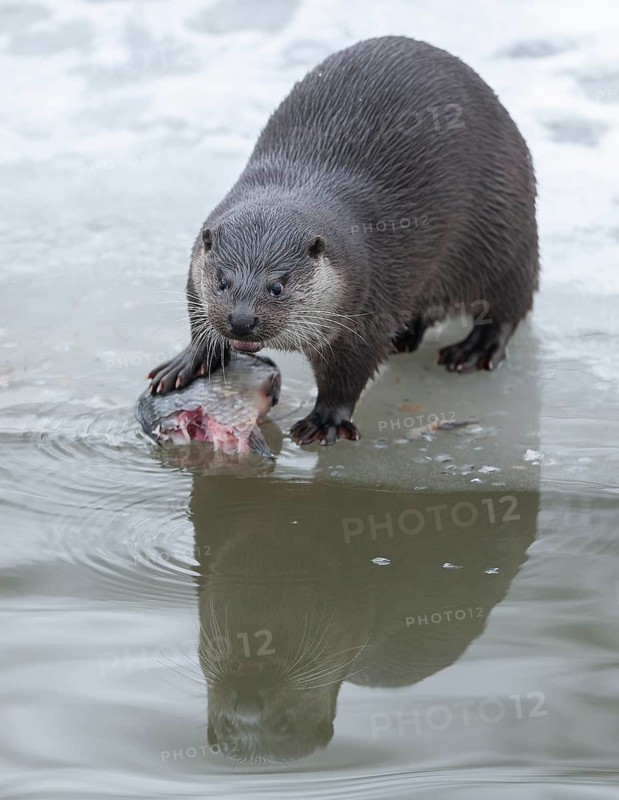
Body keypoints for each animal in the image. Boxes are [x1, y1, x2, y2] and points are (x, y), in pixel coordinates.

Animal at [149, 36, 539, 445]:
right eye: (222, 281)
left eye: (277, 286)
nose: (241, 320)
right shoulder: (196, 270)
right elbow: (198, 318)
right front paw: (188, 361)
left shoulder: (367, 303)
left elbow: (348, 372)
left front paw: (325, 420)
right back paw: (406, 337)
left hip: (504, 231)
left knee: (510, 301)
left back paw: (474, 350)